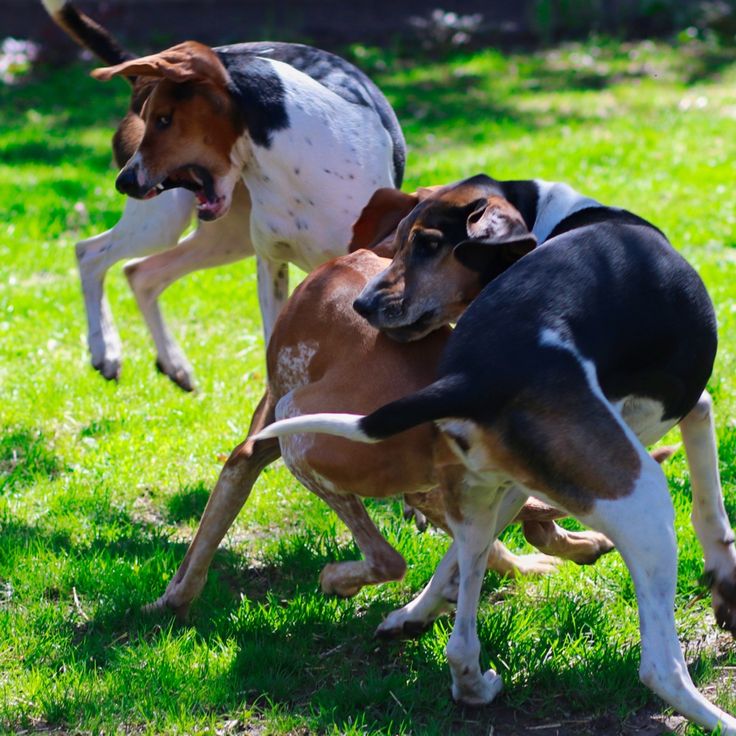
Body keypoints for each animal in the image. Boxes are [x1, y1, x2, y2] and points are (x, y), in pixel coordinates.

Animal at [43, 0, 406, 392]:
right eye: (150, 118)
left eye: (164, 119)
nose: (123, 181)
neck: (294, 165)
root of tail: (139, 76)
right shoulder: (270, 265)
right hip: (167, 223)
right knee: (90, 254)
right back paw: (105, 350)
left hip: (225, 239)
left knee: (140, 273)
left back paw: (172, 363)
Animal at [256, 175, 736, 732]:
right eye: (399, 244)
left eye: (425, 244)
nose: (362, 304)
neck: (554, 214)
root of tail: (473, 377)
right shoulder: (692, 409)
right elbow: (711, 509)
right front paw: (726, 582)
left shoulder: (508, 487)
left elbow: (450, 567)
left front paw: (411, 616)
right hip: (643, 500)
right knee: (660, 667)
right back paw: (718, 718)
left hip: (482, 502)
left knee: (461, 638)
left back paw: (470, 682)